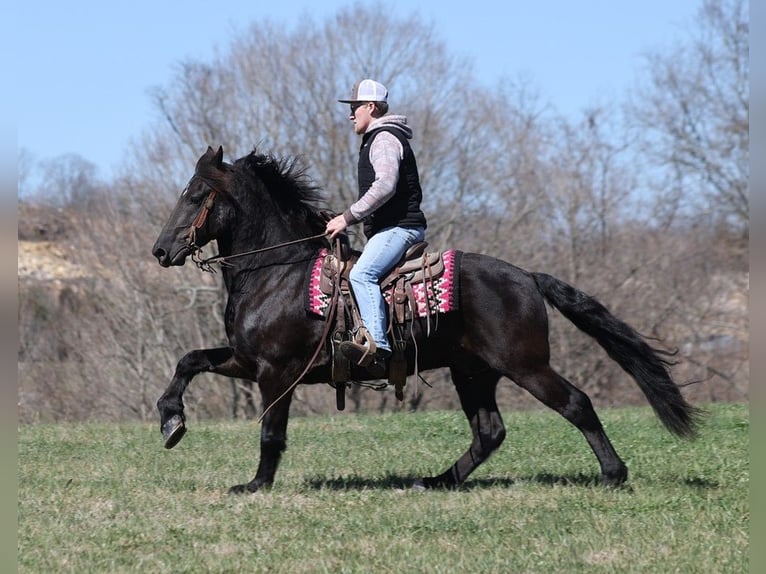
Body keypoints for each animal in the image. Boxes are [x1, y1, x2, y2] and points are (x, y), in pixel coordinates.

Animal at [150, 146, 704, 492]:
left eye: (196, 195)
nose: (160, 250)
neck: (277, 271)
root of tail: (527, 276)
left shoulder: (276, 372)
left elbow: (271, 431)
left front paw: (255, 484)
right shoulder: (246, 361)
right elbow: (188, 361)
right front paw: (171, 421)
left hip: (525, 366)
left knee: (576, 404)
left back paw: (613, 474)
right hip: (473, 372)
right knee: (489, 432)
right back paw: (437, 481)